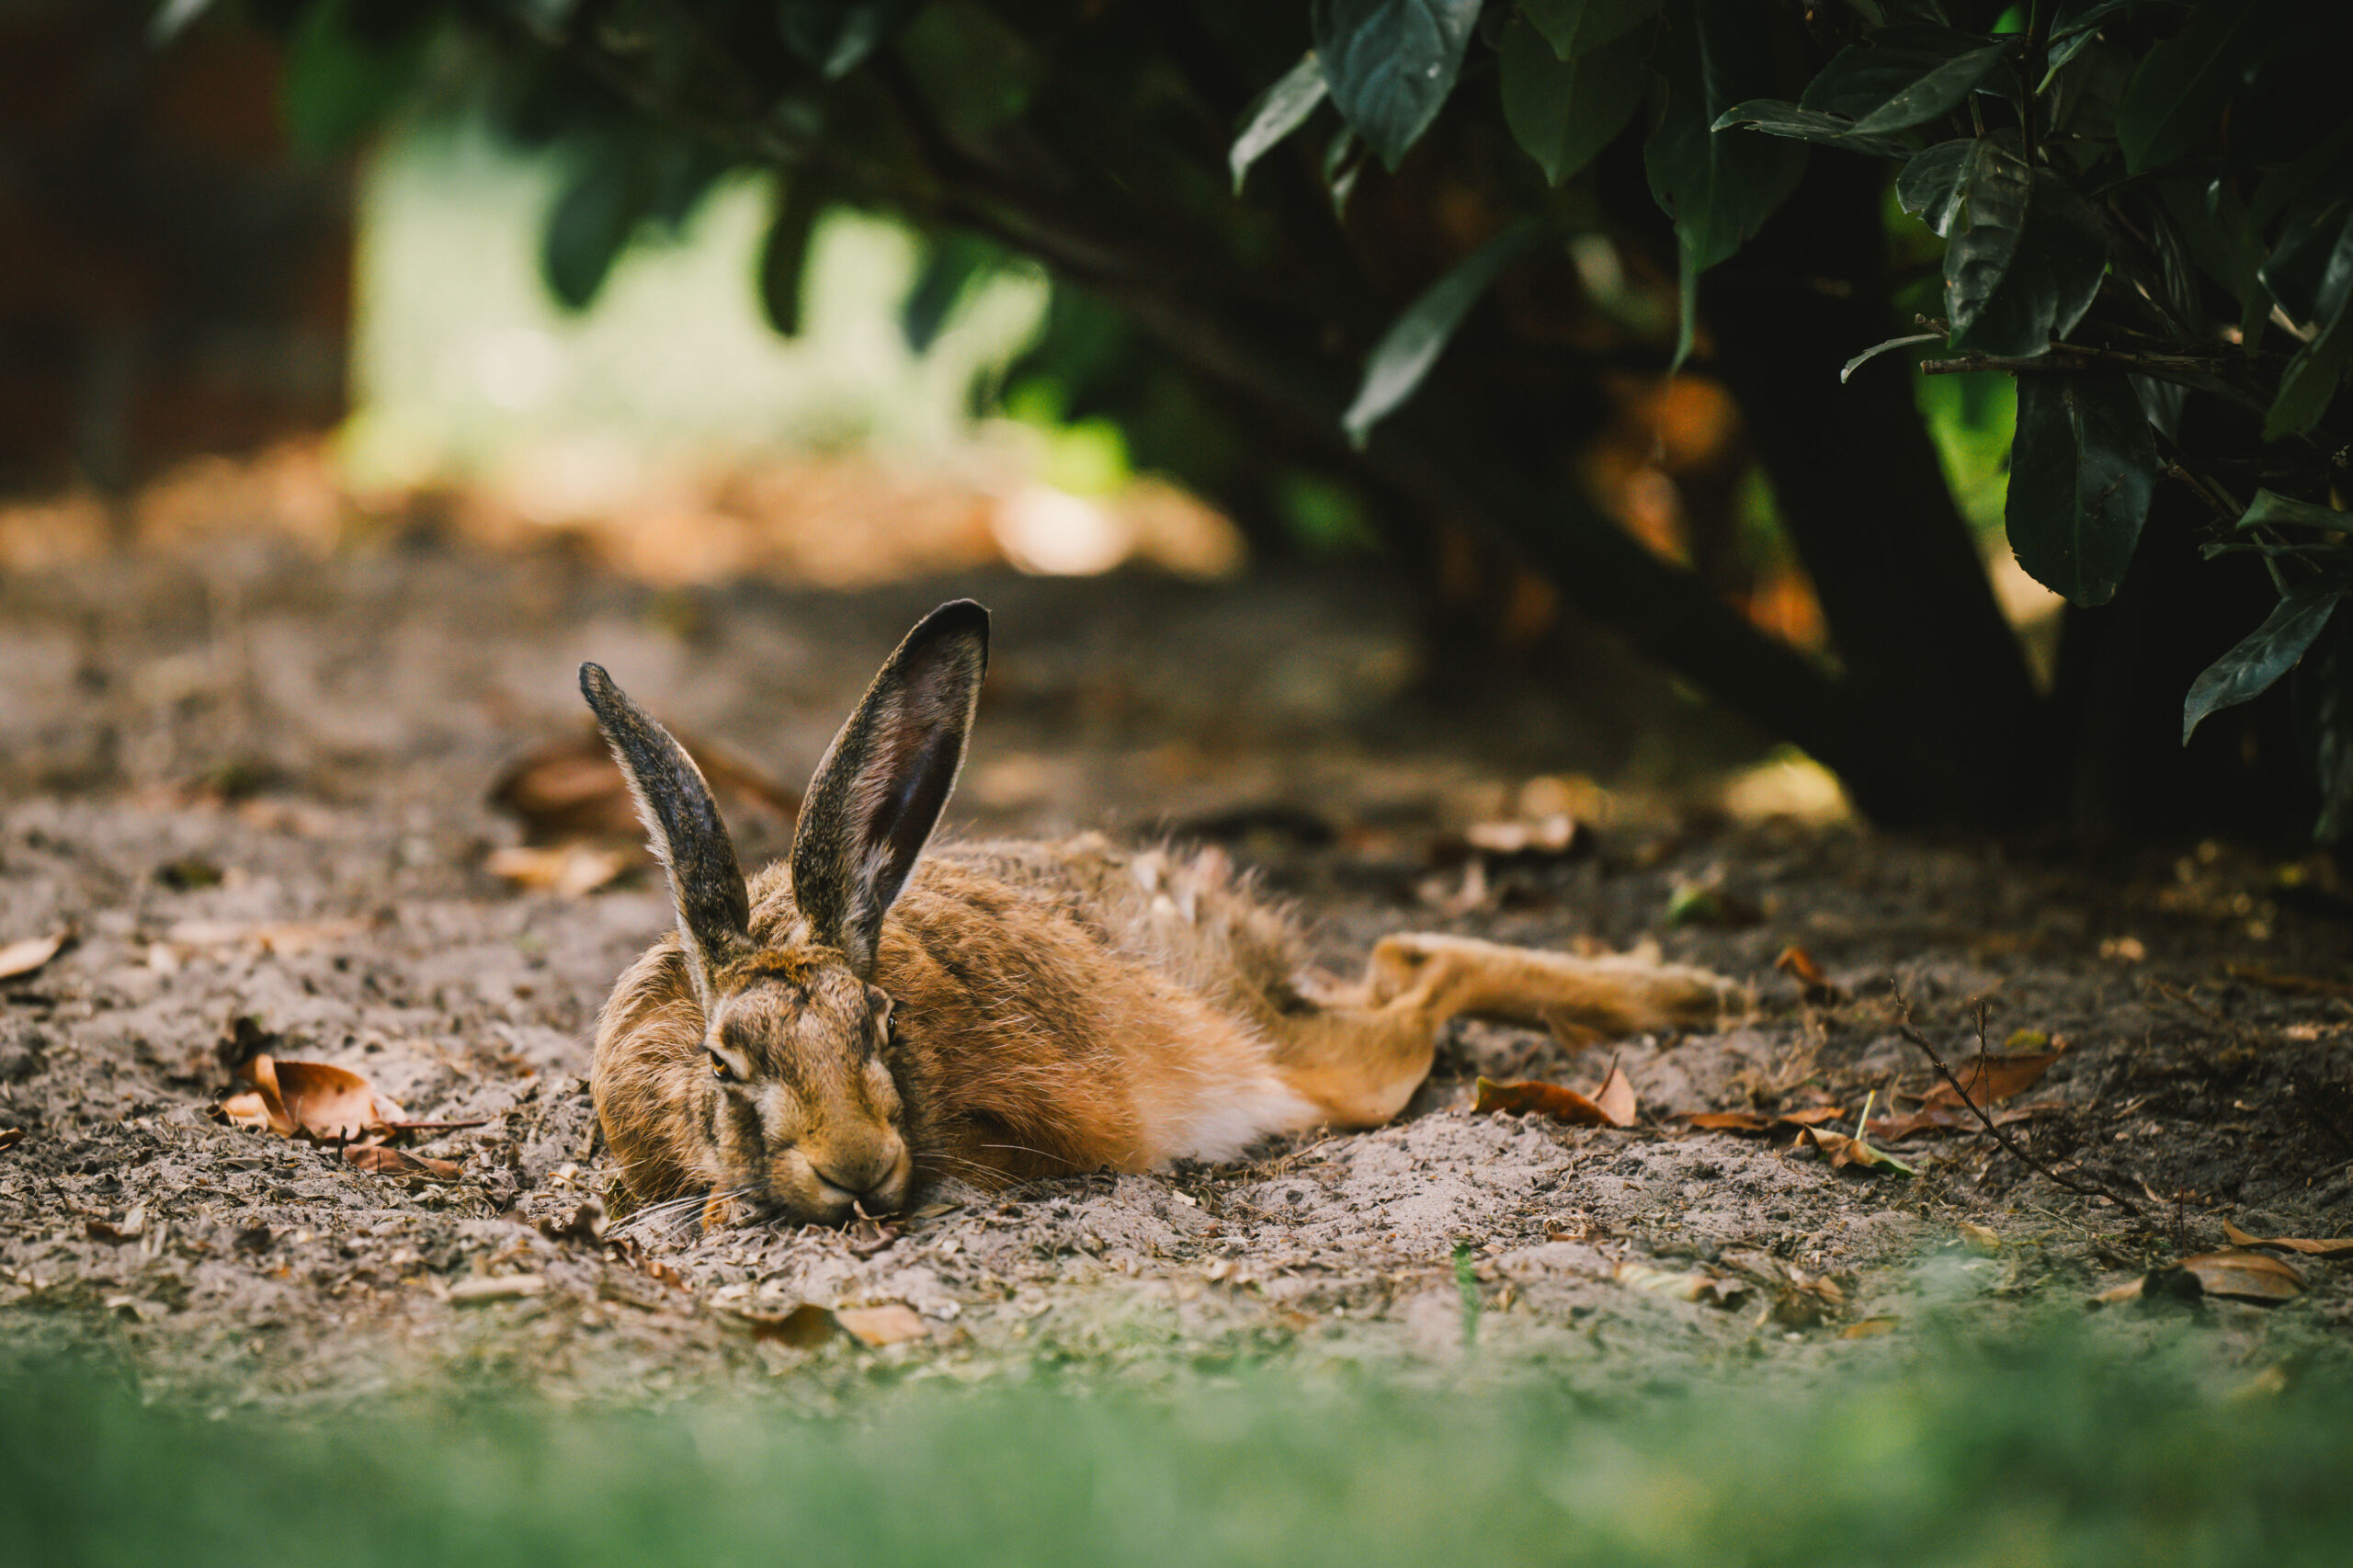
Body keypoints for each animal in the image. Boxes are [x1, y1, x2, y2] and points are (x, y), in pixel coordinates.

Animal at [582, 599, 1730, 1230]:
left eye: (885, 1024)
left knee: (1412, 981)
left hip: (1322, 1070)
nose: (858, 1167)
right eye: (724, 1062)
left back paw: (1689, 992)